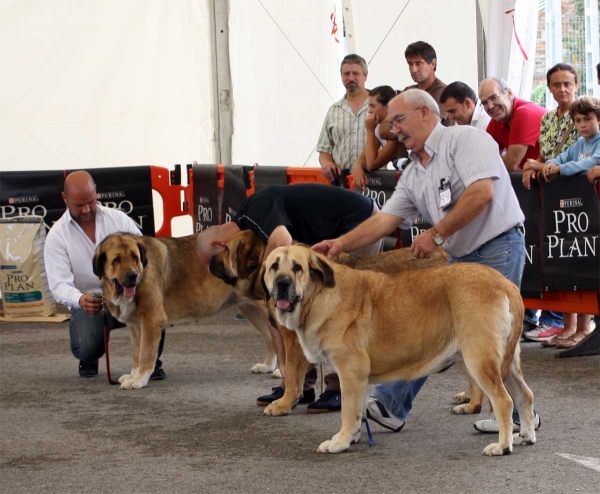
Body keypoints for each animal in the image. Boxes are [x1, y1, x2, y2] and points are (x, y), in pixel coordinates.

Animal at [92, 232, 276, 390]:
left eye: (134, 257)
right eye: (116, 260)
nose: (132, 275)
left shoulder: (151, 321)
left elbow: (145, 353)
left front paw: (139, 379)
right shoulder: (135, 325)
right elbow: (136, 353)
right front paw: (133, 375)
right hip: (250, 309)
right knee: (269, 337)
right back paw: (267, 366)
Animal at [262, 245, 536, 458]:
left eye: (297, 267)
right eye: (274, 267)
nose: (282, 284)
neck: (319, 295)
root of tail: (506, 284)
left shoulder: (349, 372)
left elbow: (347, 412)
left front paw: (339, 442)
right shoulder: (357, 379)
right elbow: (357, 411)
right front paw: (353, 437)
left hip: (479, 358)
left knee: (504, 400)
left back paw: (502, 446)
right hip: (507, 362)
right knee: (525, 395)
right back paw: (524, 436)